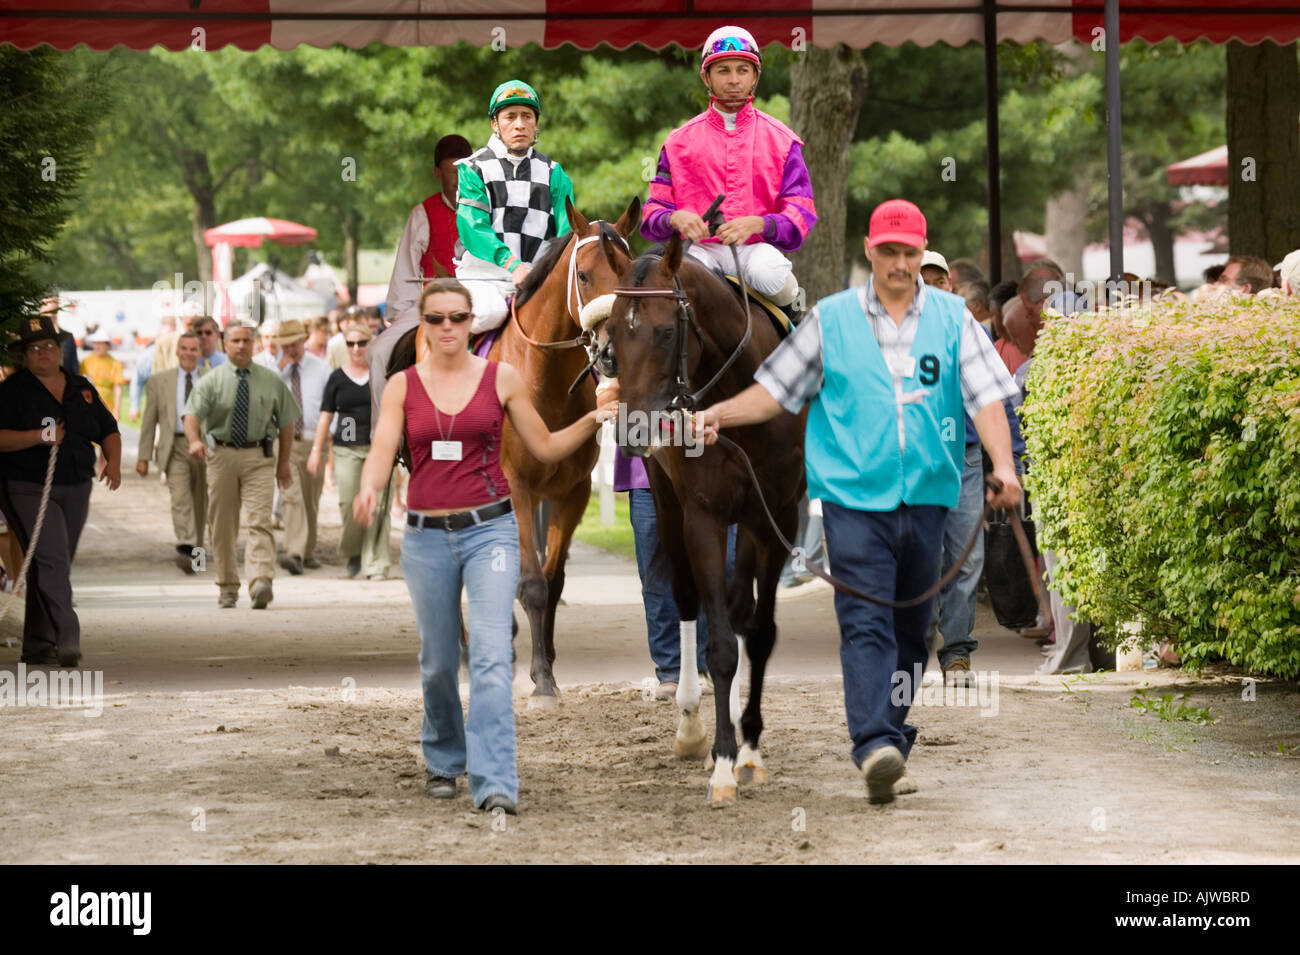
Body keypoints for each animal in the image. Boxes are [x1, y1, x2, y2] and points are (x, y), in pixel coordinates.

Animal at [593, 232, 807, 806]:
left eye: (667, 331)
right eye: (614, 332)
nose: (633, 430)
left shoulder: (777, 517)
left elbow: (757, 631)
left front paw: (748, 748)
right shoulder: (702, 517)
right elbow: (719, 645)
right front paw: (724, 762)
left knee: (735, 608)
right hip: (667, 504)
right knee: (689, 600)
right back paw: (692, 725)